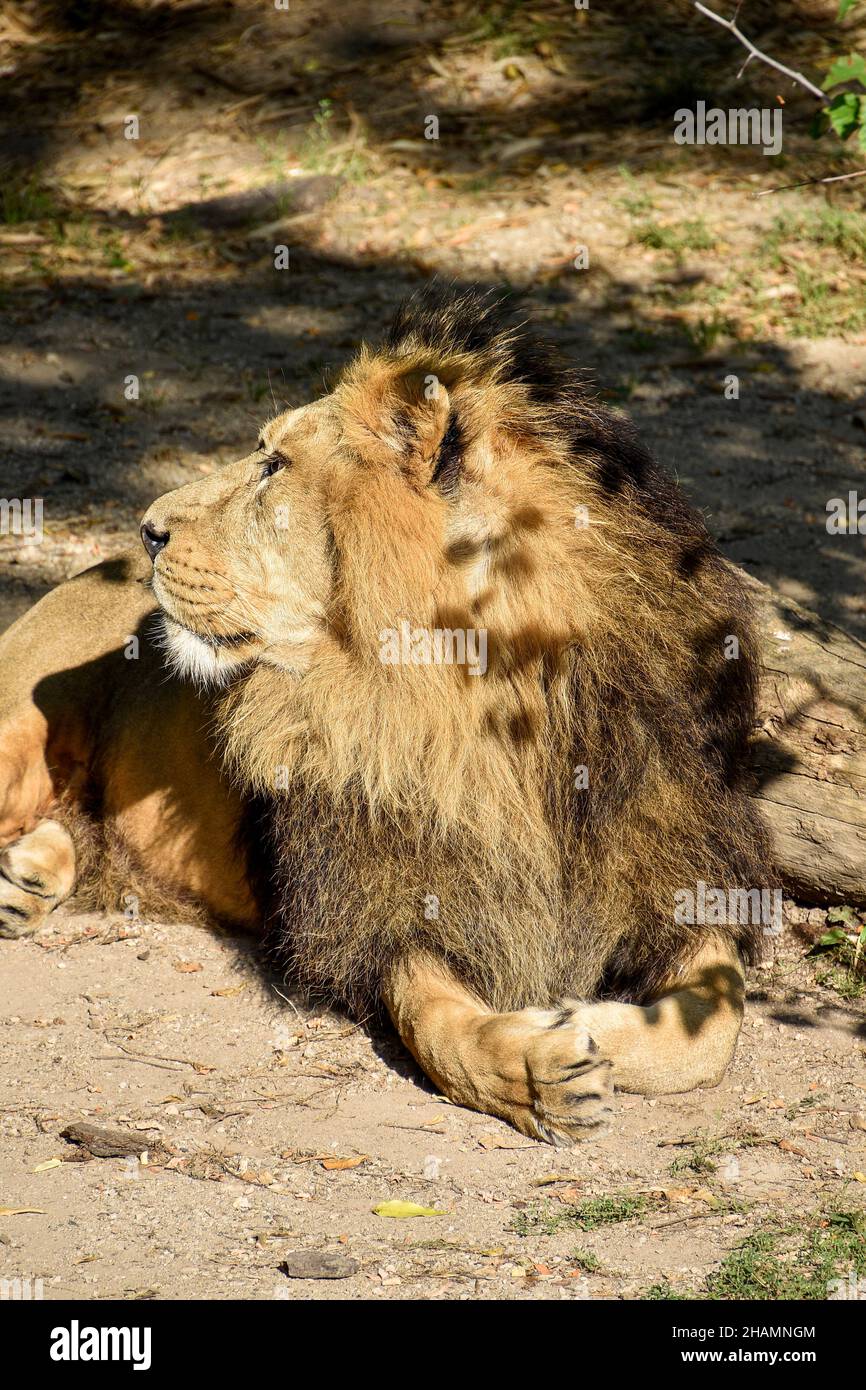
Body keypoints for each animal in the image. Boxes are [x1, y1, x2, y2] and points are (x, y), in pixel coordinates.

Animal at [0, 287, 772, 1145]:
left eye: (274, 465)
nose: (146, 528)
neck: (491, 707)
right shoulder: (386, 901)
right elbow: (438, 1024)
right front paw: (536, 1069)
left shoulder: (673, 863)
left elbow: (715, 1019)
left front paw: (587, 1018)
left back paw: (33, 875)